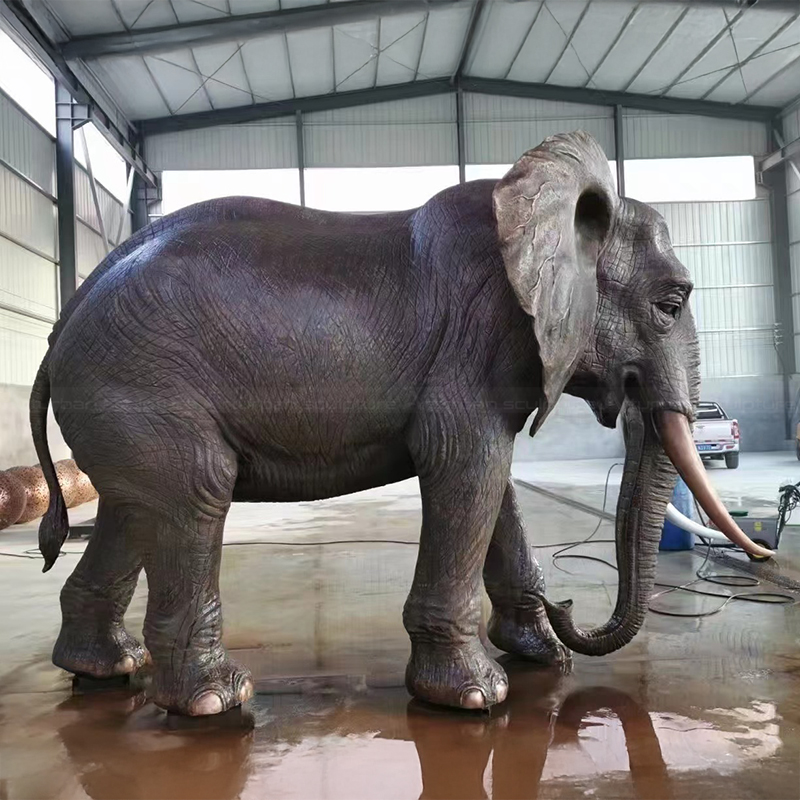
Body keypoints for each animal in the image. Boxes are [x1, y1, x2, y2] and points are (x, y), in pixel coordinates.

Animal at [30, 131, 769, 717]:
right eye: (671, 303)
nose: (569, 611)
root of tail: (62, 326)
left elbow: (495, 485)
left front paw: (541, 658)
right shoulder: (476, 338)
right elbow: (466, 466)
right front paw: (476, 697)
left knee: (134, 510)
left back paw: (106, 669)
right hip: (142, 385)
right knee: (196, 493)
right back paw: (215, 701)